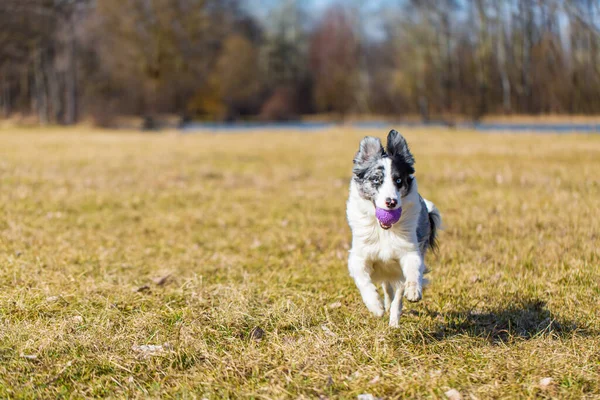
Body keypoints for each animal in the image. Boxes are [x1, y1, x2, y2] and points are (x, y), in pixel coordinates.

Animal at [346, 130, 440, 326]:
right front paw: (376, 306)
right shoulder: (358, 256)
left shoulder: (410, 251)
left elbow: (411, 274)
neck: (384, 231)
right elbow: (363, 281)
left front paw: (413, 292)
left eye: (398, 180)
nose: (391, 202)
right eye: (376, 180)